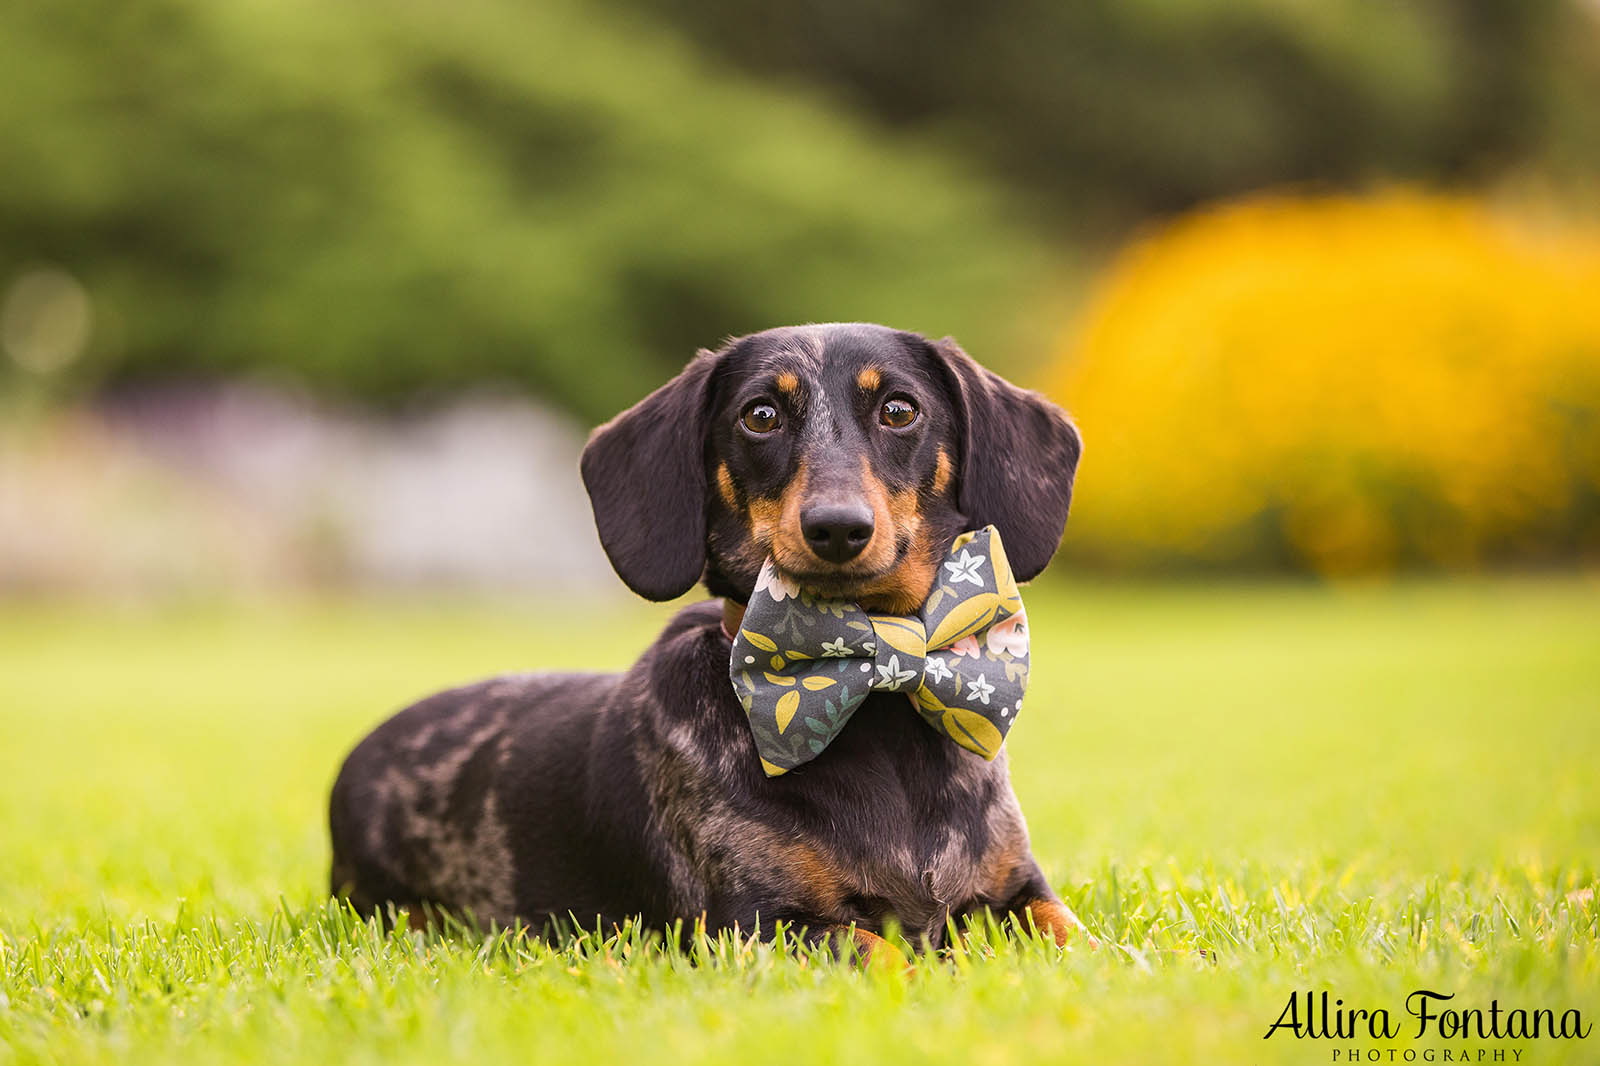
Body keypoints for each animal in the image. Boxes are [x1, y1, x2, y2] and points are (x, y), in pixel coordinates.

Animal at [328, 321, 1088, 953]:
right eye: (761, 415)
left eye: (900, 409)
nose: (836, 527)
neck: (869, 692)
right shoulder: (754, 923)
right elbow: (880, 950)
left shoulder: (1018, 888)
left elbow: (1076, 935)